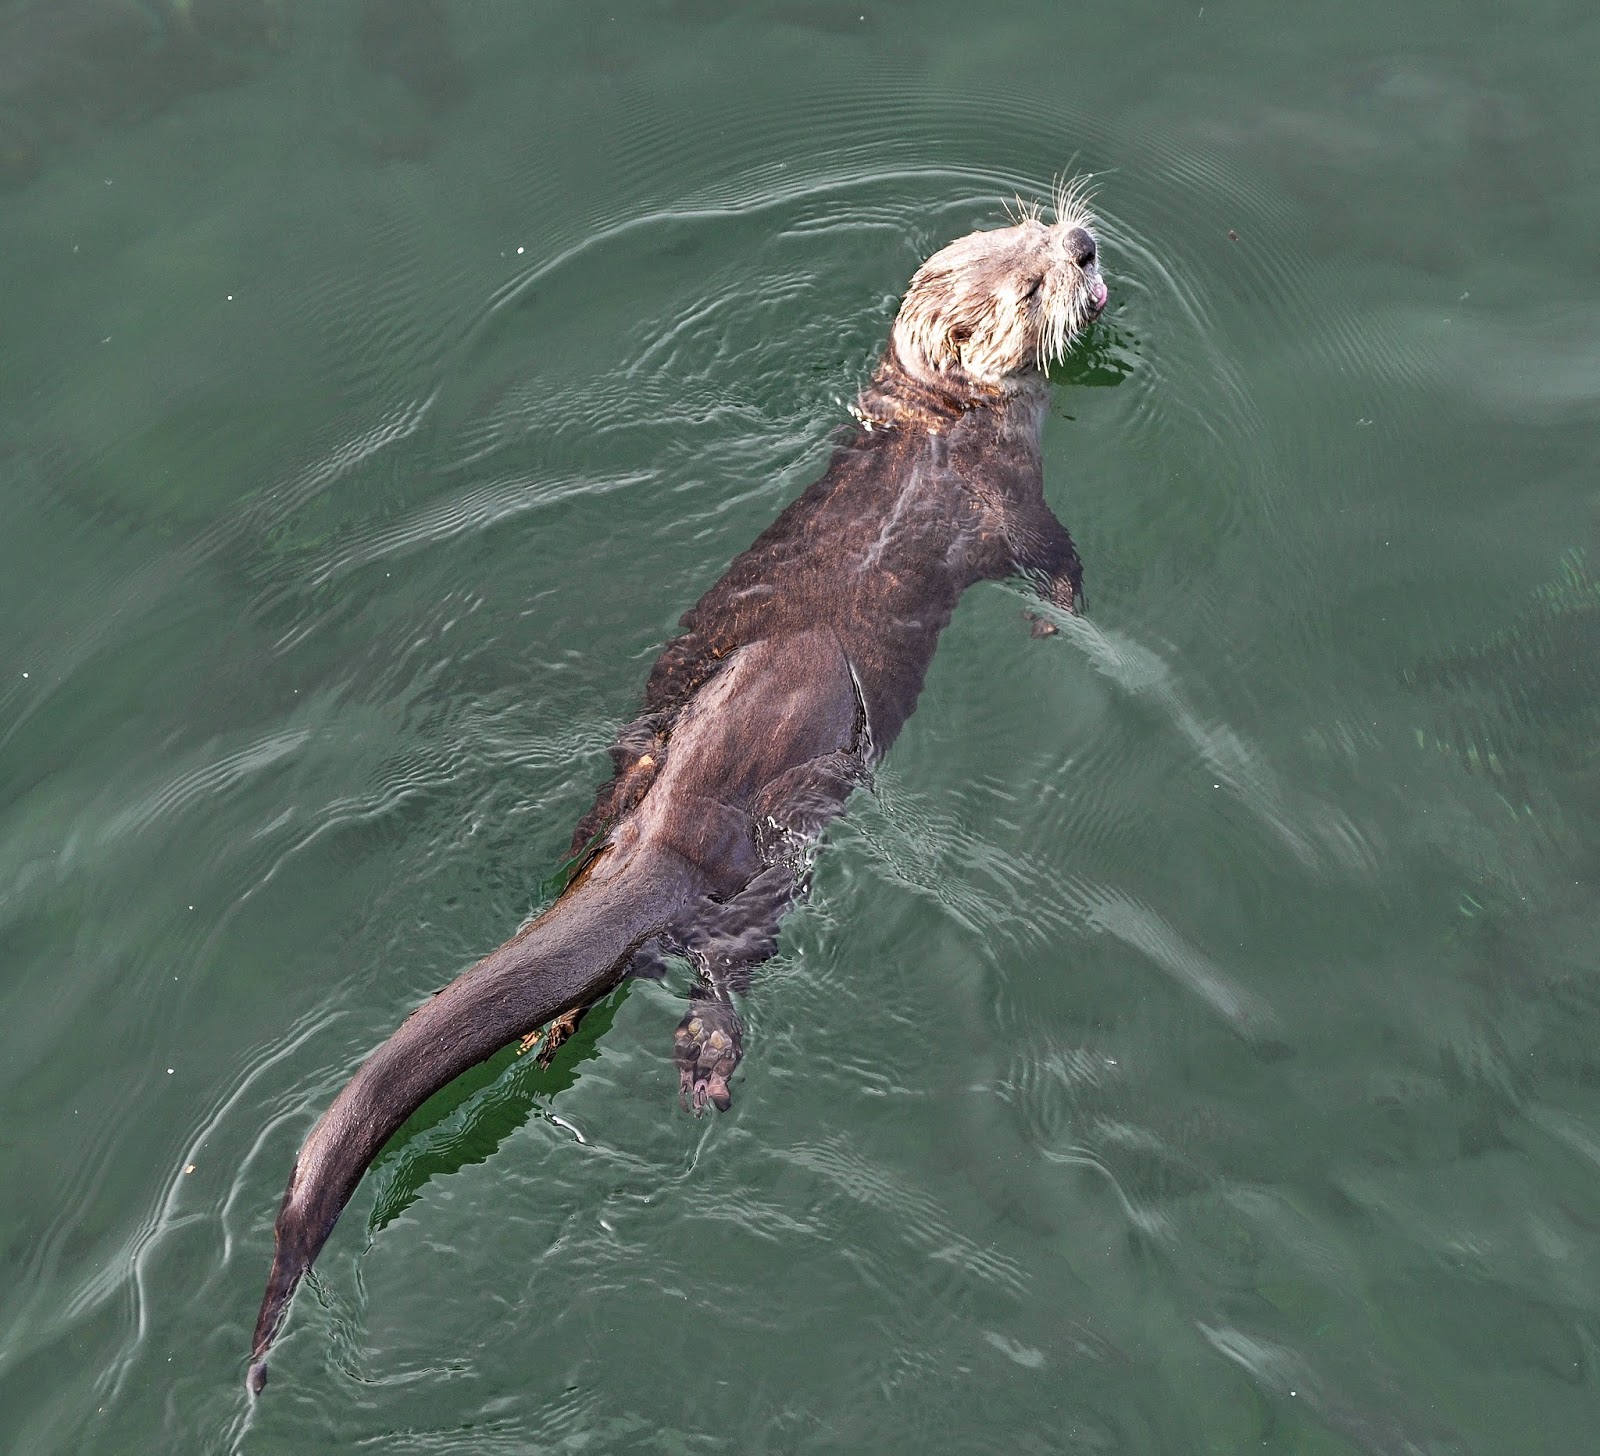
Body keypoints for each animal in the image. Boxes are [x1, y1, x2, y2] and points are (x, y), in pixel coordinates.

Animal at [247, 187, 1107, 1393]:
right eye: (1029, 280)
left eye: (1032, 222)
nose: (1082, 244)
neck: (943, 418)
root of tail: (669, 831)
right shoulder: (1006, 500)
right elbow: (1048, 554)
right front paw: (1064, 613)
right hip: (764, 879)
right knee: (724, 973)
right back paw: (705, 1064)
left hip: (625, 788)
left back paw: (552, 1025)